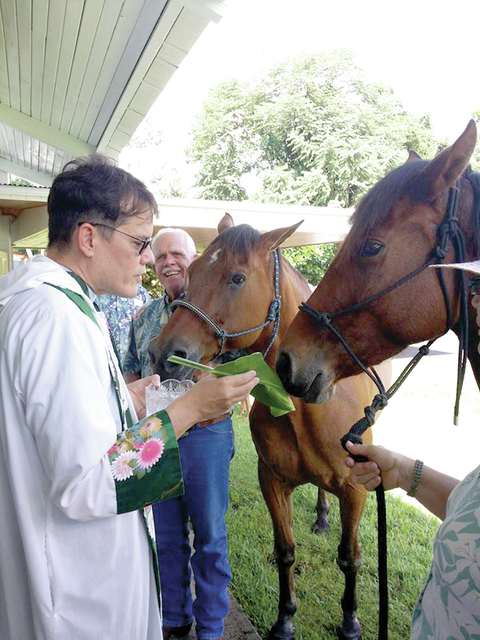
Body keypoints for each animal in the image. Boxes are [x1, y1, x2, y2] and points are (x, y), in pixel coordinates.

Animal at [149, 216, 390, 640]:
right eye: (193, 270)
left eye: (237, 278)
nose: (164, 355)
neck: (303, 405)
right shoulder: (273, 481)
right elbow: (285, 551)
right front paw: (285, 619)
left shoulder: (355, 490)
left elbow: (350, 558)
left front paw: (350, 621)